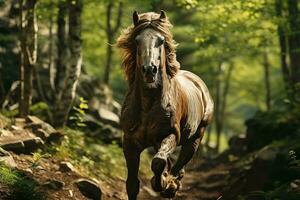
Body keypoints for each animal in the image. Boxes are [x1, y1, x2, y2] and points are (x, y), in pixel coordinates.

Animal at [116, 11, 213, 200]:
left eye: (161, 40)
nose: (149, 70)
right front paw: (161, 181)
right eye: (137, 40)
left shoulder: (171, 135)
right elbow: (132, 184)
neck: (148, 105)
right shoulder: (130, 142)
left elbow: (158, 162)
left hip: (195, 138)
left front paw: (162, 183)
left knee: (179, 164)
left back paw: (171, 185)